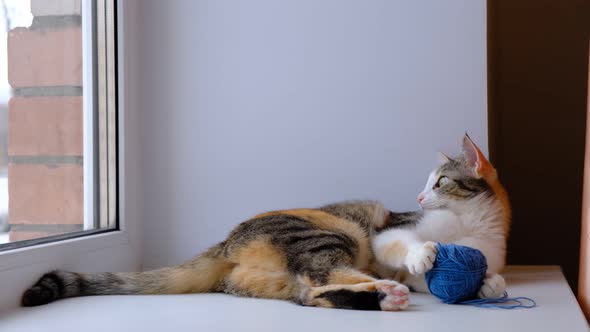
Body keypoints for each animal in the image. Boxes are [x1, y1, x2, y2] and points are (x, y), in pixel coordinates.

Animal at [23, 134, 512, 312]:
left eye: (440, 181)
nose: (419, 196)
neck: (473, 229)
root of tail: (224, 244)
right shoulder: (389, 230)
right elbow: (409, 247)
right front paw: (426, 254)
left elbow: (484, 276)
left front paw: (489, 284)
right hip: (329, 233)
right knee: (318, 275)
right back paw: (386, 292)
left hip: (282, 274)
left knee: (307, 293)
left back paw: (382, 297)